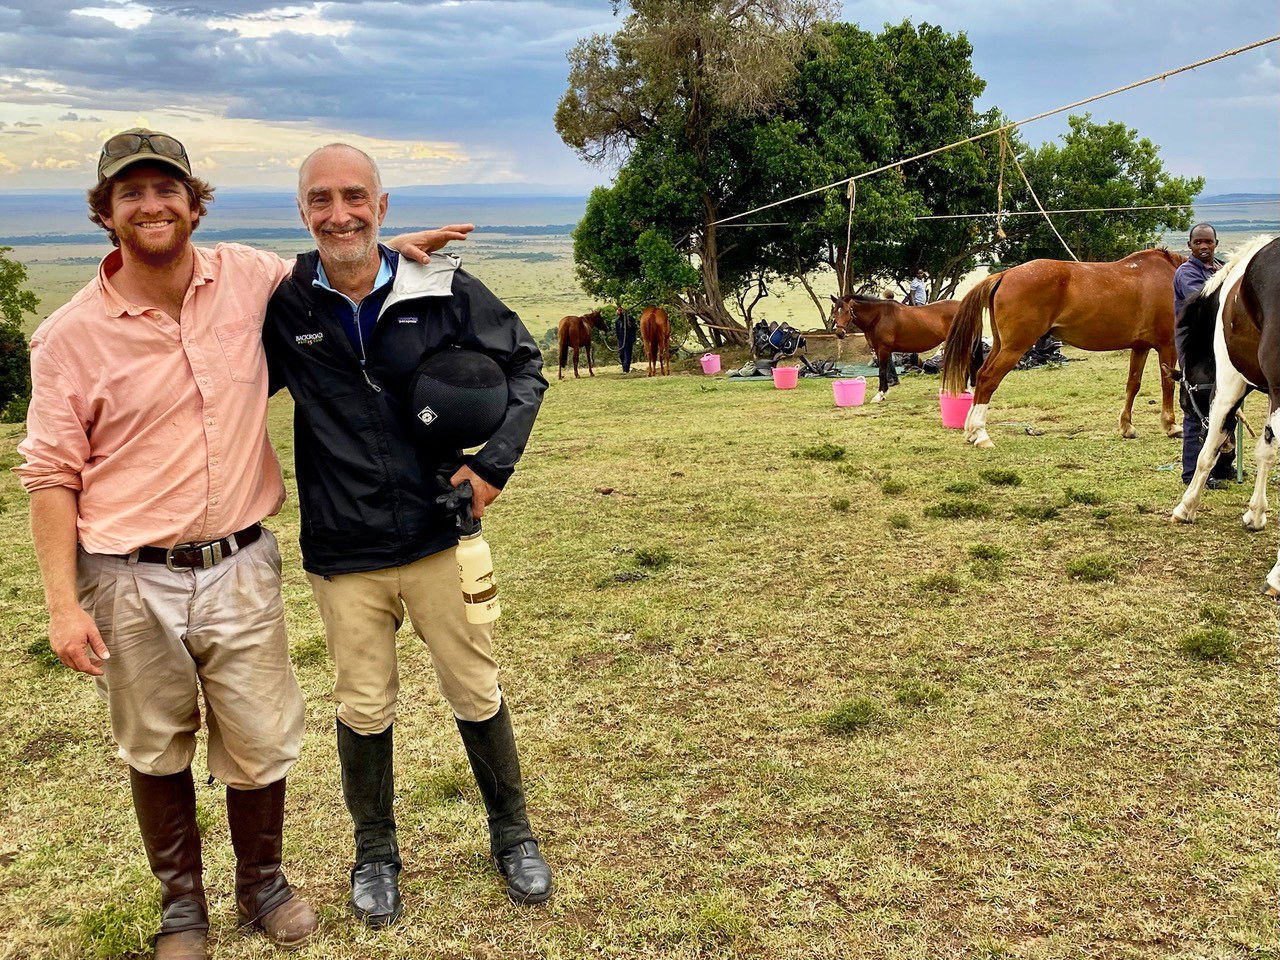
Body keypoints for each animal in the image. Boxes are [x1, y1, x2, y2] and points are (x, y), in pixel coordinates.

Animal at [829, 295, 960, 402]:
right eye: (835, 311)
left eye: (847, 311)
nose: (840, 333)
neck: (878, 316)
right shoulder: (879, 349)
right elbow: (885, 370)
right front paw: (884, 392)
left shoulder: (883, 348)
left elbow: (882, 371)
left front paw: (879, 395)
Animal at [940, 249, 1185, 448]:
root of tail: (1004, 275)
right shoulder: (1168, 345)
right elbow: (1168, 383)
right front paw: (1171, 426)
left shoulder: (1140, 347)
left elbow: (1133, 385)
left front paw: (1127, 427)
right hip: (1014, 348)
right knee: (988, 380)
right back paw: (981, 435)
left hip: (1001, 345)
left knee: (981, 376)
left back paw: (971, 432)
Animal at [1170, 235, 1280, 596]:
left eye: (1187, 401)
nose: (1233, 450)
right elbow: (1265, 451)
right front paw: (1256, 514)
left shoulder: (1229, 383)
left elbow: (1207, 452)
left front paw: (1186, 507)